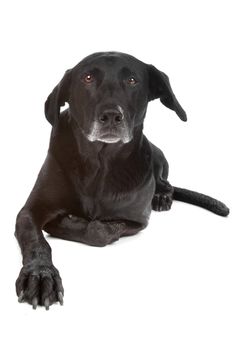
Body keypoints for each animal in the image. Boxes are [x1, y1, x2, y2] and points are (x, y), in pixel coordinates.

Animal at [15, 51, 229, 308]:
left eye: (132, 80)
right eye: (87, 78)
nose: (111, 115)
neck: (100, 163)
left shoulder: (137, 219)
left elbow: (100, 231)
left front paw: (68, 223)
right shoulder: (30, 210)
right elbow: (36, 240)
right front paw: (40, 273)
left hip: (157, 156)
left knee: (165, 182)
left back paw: (161, 197)